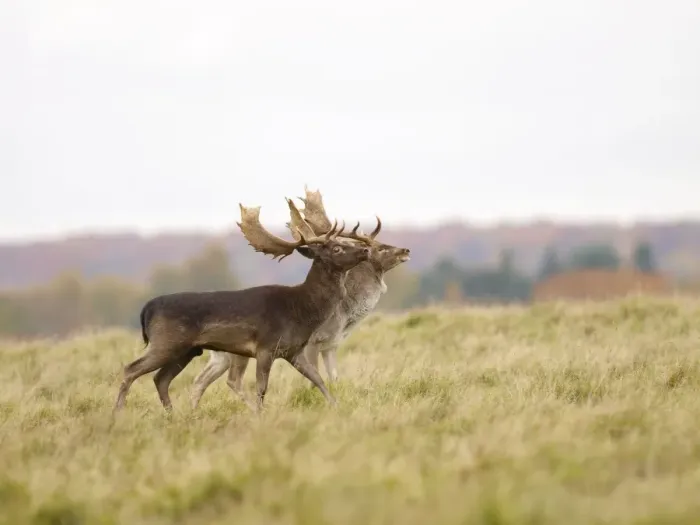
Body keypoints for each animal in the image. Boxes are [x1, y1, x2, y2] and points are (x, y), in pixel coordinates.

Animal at [112, 197, 374, 414]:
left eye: (345, 242)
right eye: (337, 248)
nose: (365, 249)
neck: (302, 310)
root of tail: (147, 309)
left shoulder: (293, 351)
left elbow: (318, 379)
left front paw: (337, 407)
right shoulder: (265, 346)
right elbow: (262, 387)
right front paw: (260, 415)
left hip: (186, 350)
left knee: (161, 379)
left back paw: (173, 416)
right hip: (166, 341)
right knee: (131, 369)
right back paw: (118, 414)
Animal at [190, 187, 411, 409]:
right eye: (380, 248)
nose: (405, 250)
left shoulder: (330, 346)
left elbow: (332, 378)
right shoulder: (313, 342)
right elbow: (313, 379)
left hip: (221, 355)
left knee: (201, 379)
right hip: (237, 352)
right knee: (231, 380)